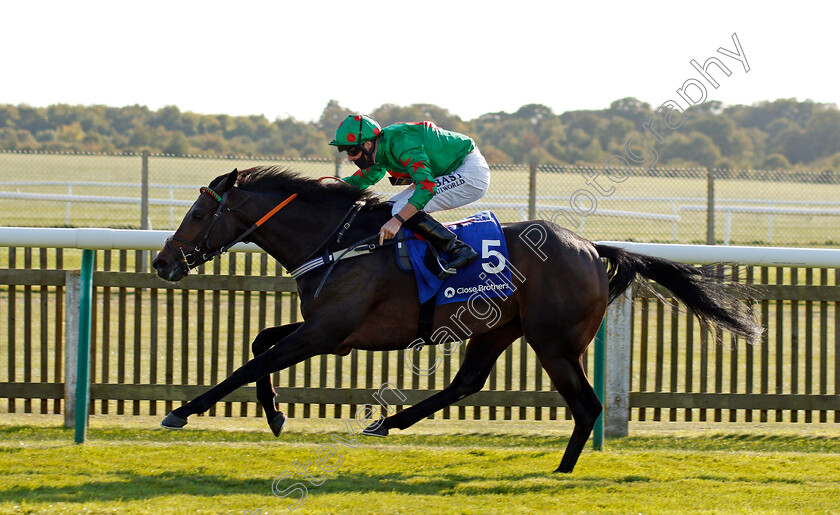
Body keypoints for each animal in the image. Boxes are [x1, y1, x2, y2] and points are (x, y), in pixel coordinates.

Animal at [151, 167, 760, 474]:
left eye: (198, 213)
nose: (162, 262)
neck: (341, 241)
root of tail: (592, 247)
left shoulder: (329, 333)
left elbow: (246, 364)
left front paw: (181, 411)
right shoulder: (327, 332)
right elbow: (259, 344)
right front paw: (275, 414)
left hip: (554, 344)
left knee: (585, 405)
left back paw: (561, 471)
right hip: (496, 330)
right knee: (468, 381)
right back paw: (388, 422)